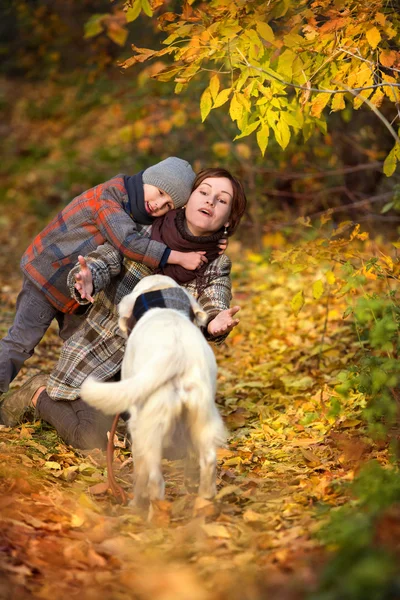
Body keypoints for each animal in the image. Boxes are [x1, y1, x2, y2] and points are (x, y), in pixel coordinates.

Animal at [80, 274, 228, 504]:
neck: (165, 306)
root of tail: (177, 353)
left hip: (146, 427)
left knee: (153, 479)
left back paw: (139, 506)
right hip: (201, 418)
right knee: (207, 461)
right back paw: (203, 499)